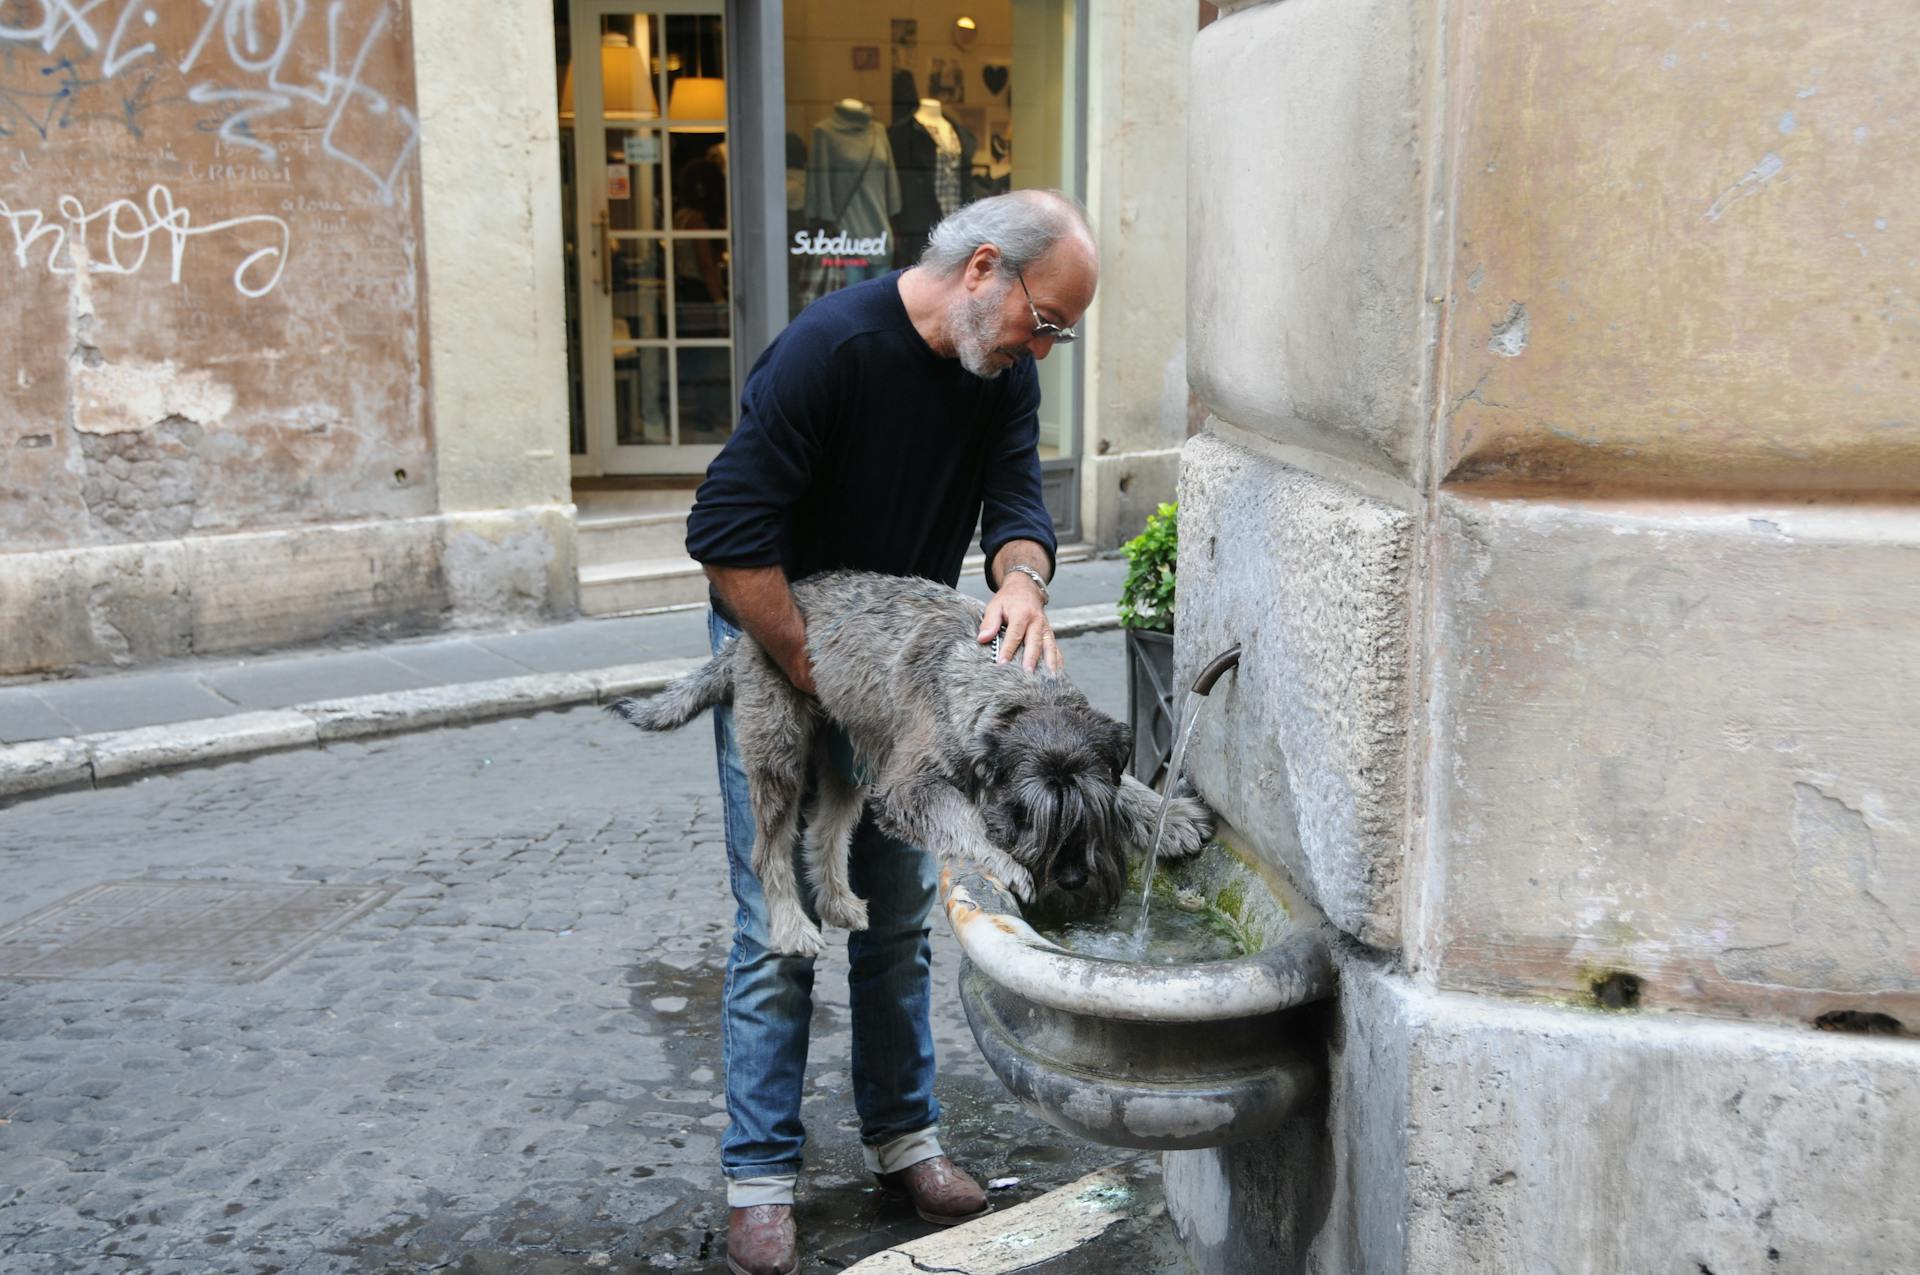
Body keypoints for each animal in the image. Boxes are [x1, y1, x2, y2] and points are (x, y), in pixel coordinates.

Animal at [614, 568, 1205, 956]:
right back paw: (793, 928)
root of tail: (739, 642)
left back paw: (838, 903)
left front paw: (1169, 816)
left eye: (1094, 811)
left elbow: (1127, 782)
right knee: (769, 853)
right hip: (778, 755)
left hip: (852, 762)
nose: (1075, 878)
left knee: (824, 832)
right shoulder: (909, 788)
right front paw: (1007, 866)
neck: (1007, 687)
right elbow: (964, 820)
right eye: (1023, 815)